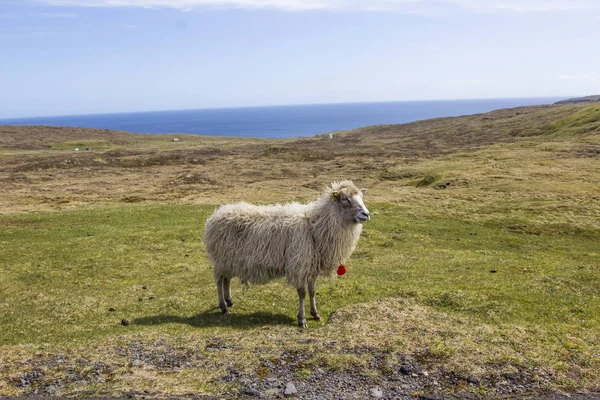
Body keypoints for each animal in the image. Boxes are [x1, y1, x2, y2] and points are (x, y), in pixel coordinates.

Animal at [204, 180, 368, 326]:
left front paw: (315, 314)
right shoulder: (299, 265)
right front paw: (302, 319)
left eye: (361, 196)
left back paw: (229, 301)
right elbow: (302, 293)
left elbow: (312, 291)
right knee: (219, 281)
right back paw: (223, 307)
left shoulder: (312, 266)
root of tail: (217, 214)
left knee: (227, 280)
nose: (366, 214)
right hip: (220, 259)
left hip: (229, 260)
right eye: (345, 199)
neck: (314, 225)